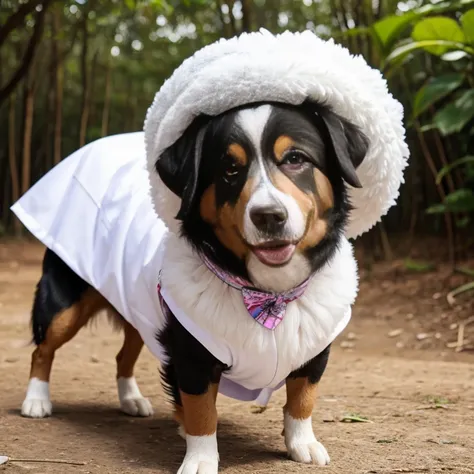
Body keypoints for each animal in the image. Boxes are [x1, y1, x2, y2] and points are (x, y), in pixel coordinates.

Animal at [19, 99, 366, 470]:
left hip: (140, 313)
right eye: (230, 169)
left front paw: (302, 443)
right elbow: (202, 413)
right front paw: (200, 457)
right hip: (64, 305)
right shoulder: (192, 354)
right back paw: (36, 400)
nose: (269, 216)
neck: (269, 295)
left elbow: (302, 398)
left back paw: (131, 399)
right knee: (42, 350)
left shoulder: (313, 350)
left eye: (296, 158)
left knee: (122, 356)